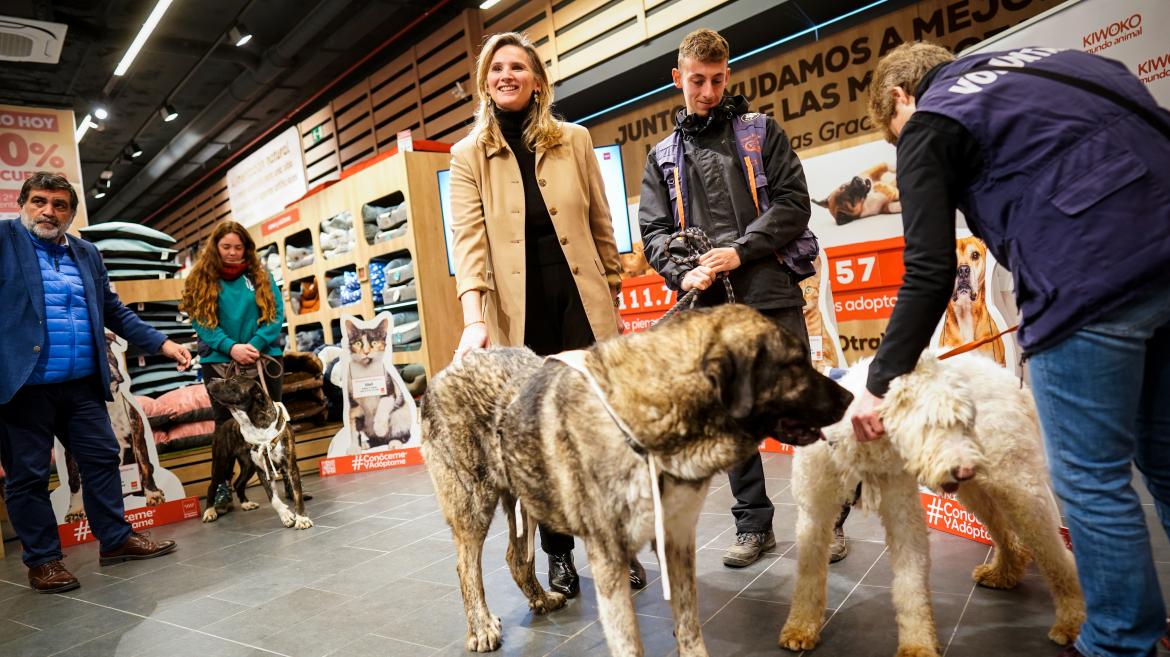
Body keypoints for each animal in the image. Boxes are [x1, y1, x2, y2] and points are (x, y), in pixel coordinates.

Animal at [421, 303, 851, 654]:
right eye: (794, 365)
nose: (849, 398)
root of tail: (446, 371)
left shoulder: (676, 539)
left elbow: (689, 625)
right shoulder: (609, 554)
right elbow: (628, 640)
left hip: (527, 494)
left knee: (515, 557)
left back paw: (541, 600)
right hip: (473, 504)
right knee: (466, 567)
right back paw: (481, 627)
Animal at [781, 353, 1081, 654]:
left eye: (966, 422)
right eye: (931, 423)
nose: (964, 469)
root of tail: (1013, 382)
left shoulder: (904, 517)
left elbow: (911, 586)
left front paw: (917, 645)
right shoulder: (814, 515)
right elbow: (808, 575)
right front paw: (801, 627)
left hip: (1018, 486)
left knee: (1056, 554)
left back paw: (1072, 621)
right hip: (977, 492)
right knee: (1006, 534)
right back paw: (1003, 573)